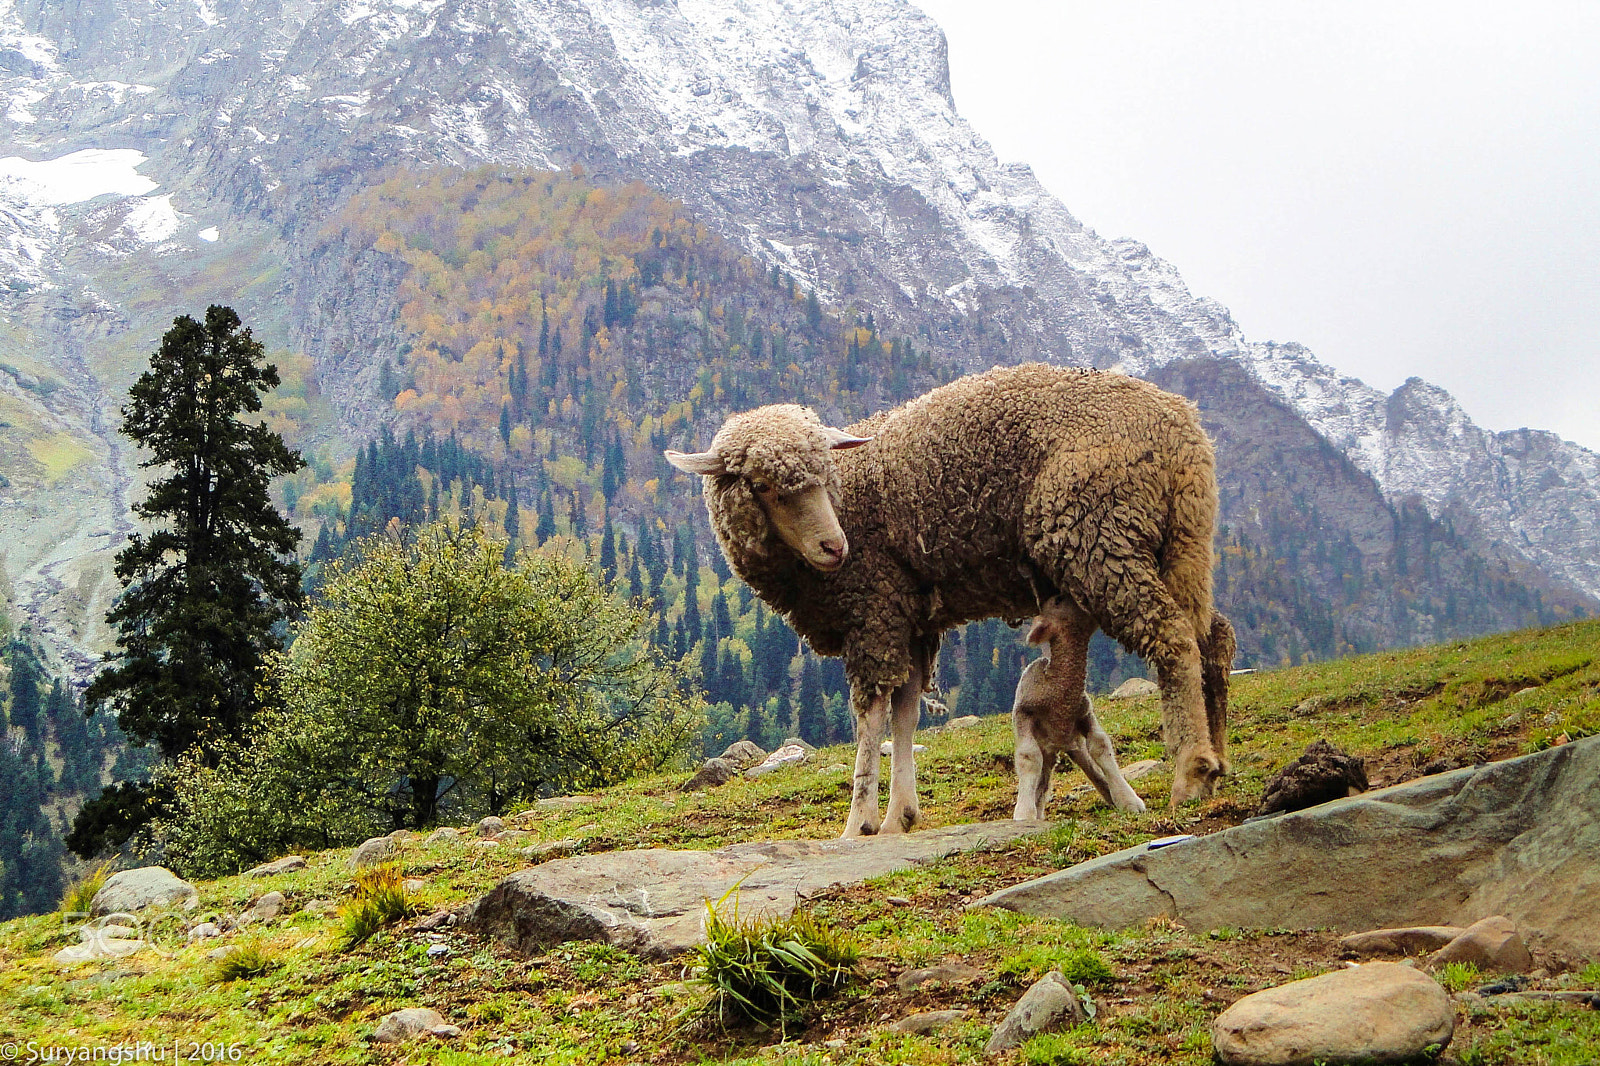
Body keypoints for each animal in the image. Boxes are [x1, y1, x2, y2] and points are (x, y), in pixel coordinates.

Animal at [1017, 598, 1145, 813]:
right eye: (1058, 600)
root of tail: (1061, 743)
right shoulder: (1024, 713)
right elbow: (1029, 757)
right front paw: (1024, 813)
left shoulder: (1083, 713)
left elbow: (1100, 745)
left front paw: (1128, 800)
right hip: (1051, 746)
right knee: (1041, 781)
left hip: (1072, 743)